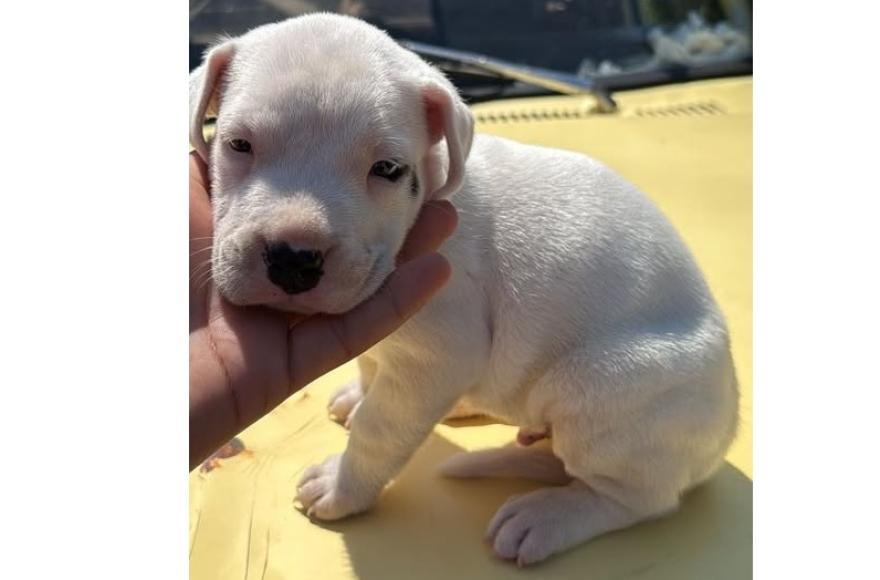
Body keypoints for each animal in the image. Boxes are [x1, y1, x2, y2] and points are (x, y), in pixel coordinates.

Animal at [191, 13, 736, 568]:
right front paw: (357, 395)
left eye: (387, 170)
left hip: (606, 391)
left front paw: (341, 486)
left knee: (636, 497)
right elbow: (371, 369)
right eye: (238, 144)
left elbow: (379, 430)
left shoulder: (438, 355)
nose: (293, 259)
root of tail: (725, 432)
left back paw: (548, 516)